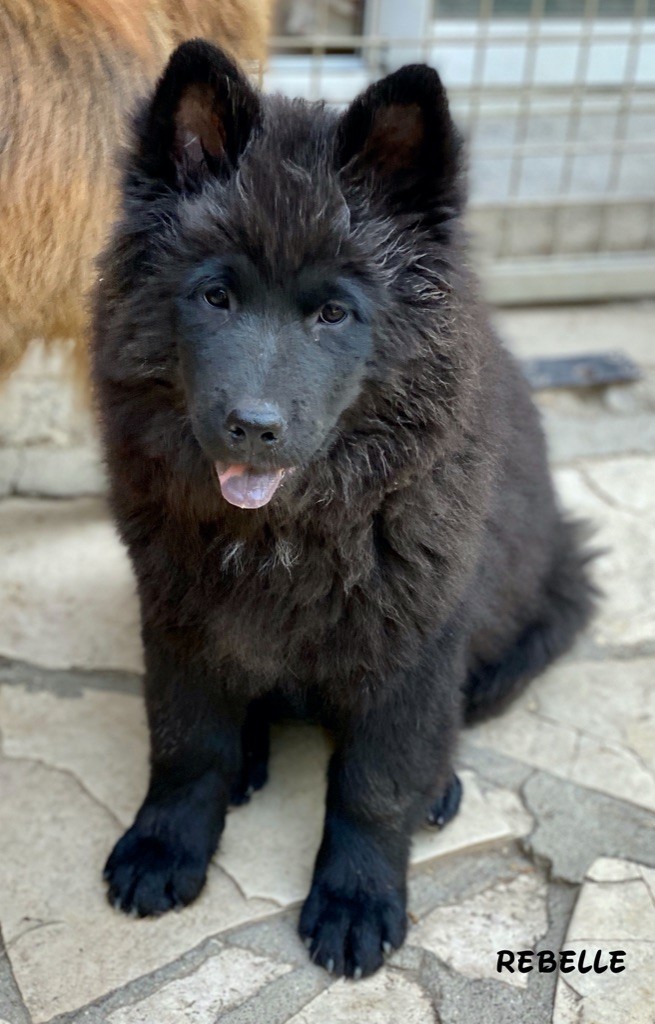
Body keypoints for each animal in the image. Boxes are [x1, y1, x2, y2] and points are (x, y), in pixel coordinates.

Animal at [92, 40, 596, 979]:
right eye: (215, 297)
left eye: (332, 312)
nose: (253, 427)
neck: (283, 531)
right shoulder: (177, 614)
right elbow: (186, 743)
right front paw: (165, 844)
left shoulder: (414, 642)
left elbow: (373, 781)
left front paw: (356, 898)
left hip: (538, 612)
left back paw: (439, 787)